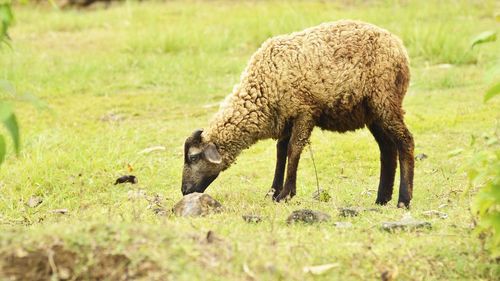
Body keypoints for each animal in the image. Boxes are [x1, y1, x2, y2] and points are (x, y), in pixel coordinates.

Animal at [181, 19, 414, 207]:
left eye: (193, 157)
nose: (184, 191)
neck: (262, 89)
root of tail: (399, 46)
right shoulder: (285, 118)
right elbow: (280, 152)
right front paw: (273, 193)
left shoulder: (304, 112)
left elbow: (293, 150)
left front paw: (286, 194)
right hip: (373, 112)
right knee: (387, 149)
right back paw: (382, 199)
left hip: (385, 100)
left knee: (405, 141)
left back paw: (403, 200)